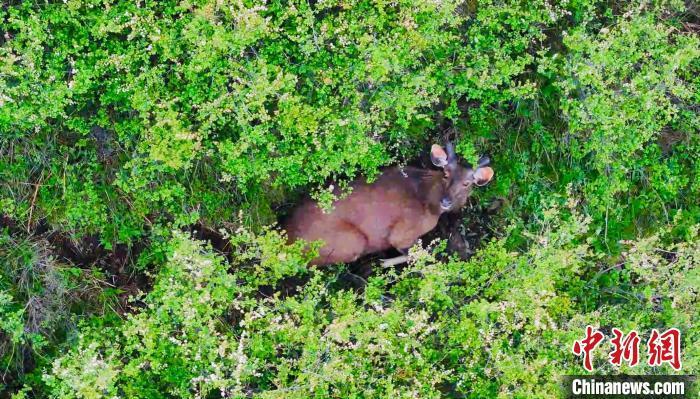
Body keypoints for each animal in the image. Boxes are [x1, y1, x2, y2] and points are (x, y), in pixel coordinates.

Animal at [284, 142, 492, 268]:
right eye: (446, 174)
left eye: (467, 183)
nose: (446, 201)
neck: (428, 200)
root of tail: (288, 238)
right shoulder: (401, 234)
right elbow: (418, 253)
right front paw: (383, 261)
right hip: (353, 241)